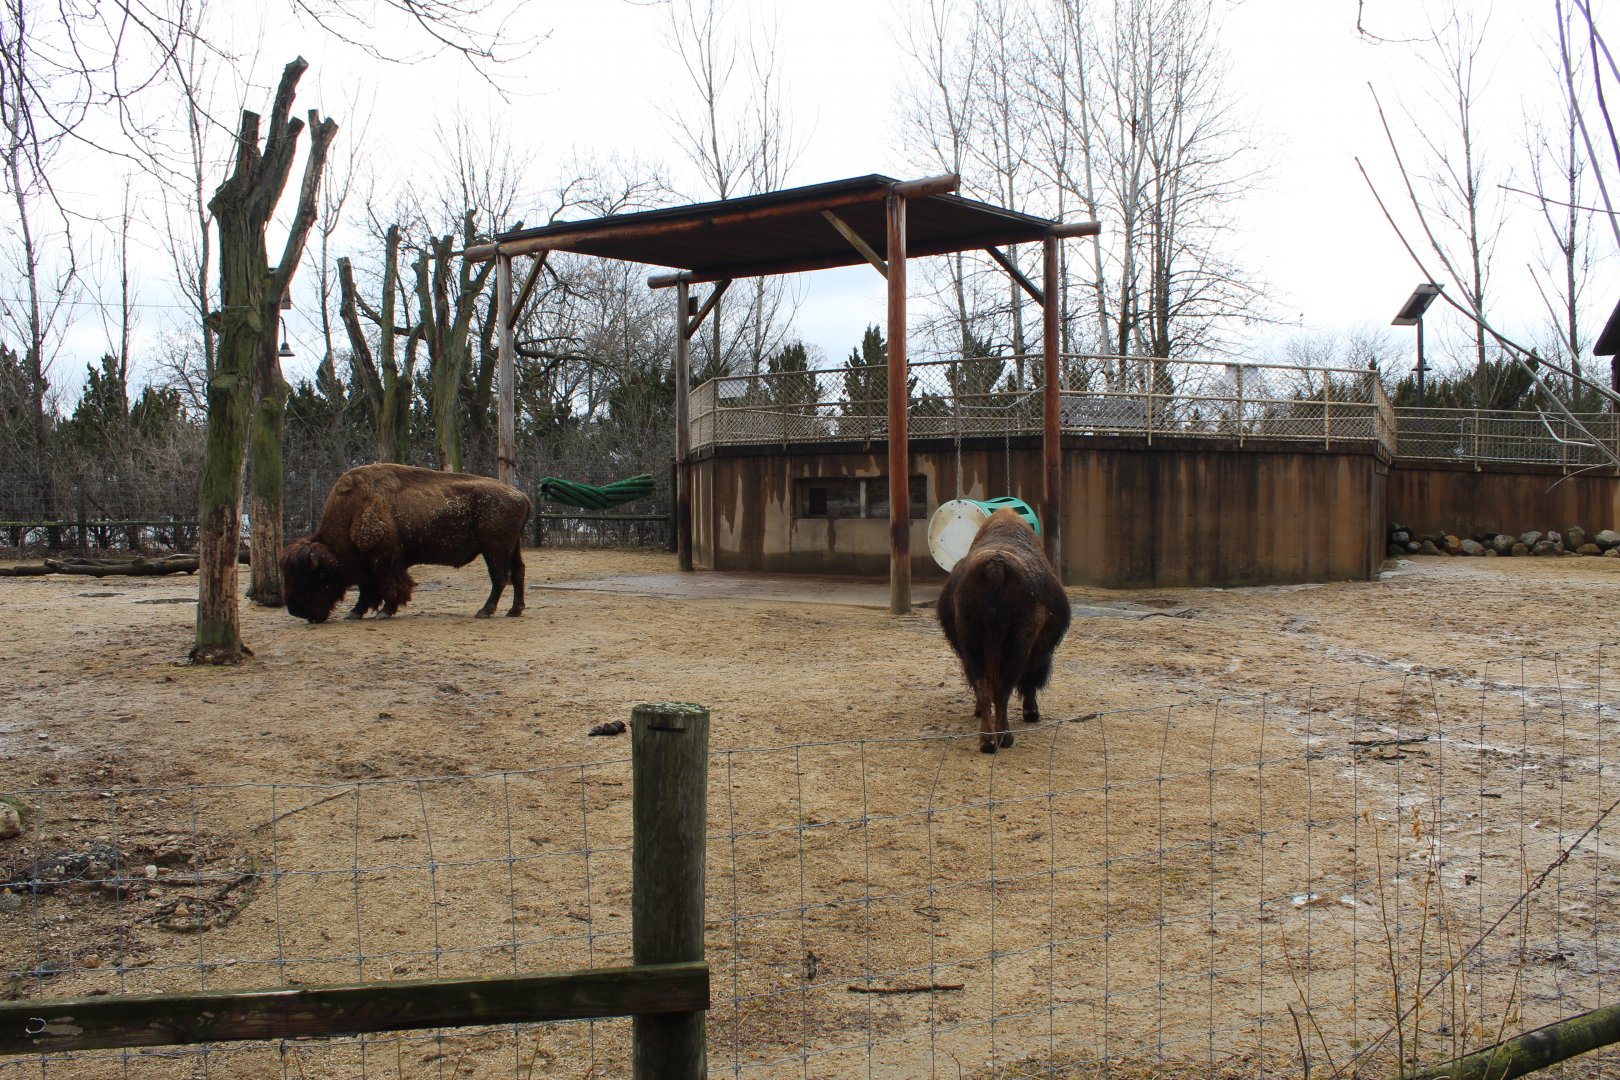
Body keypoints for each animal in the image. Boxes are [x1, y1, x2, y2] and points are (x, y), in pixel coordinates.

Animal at [280, 464, 531, 623]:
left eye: (307, 578)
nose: (296, 612)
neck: (352, 512)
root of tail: (521, 496)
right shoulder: (368, 565)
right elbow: (366, 589)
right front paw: (355, 612)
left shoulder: (384, 559)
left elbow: (388, 585)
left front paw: (384, 612)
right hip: (512, 547)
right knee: (518, 573)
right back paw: (514, 610)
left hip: (494, 549)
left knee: (500, 577)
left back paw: (484, 611)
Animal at [936, 508, 1072, 753]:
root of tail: (995, 566)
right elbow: (1028, 681)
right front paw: (1031, 713)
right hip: (1017, 644)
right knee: (1004, 686)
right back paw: (1004, 738)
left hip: (973, 644)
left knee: (983, 684)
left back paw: (987, 740)